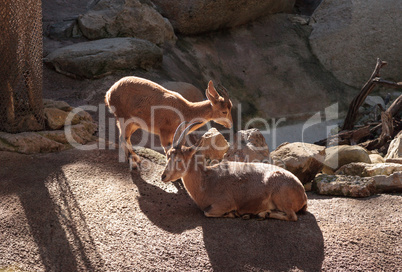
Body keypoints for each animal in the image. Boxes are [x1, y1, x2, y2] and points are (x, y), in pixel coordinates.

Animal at [105, 75, 234, 168]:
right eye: (224, 111)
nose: (230, 124)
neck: (186, 111)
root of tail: (109, 93)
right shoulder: (165, 132)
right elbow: (168, 150)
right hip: (124, 118)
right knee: (123, 138)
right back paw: (133, 162)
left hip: (134, 124)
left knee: (126, 138)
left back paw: (135, 159)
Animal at [160, 122, 308, 221]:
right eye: (168, 156)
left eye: (179, 159)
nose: (164, 176)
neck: (207, 182)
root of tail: (302, 193)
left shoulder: (224, 203)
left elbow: (208, 212)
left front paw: (233, 213)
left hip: (280, 197)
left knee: (292, 216)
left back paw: (262, 213)